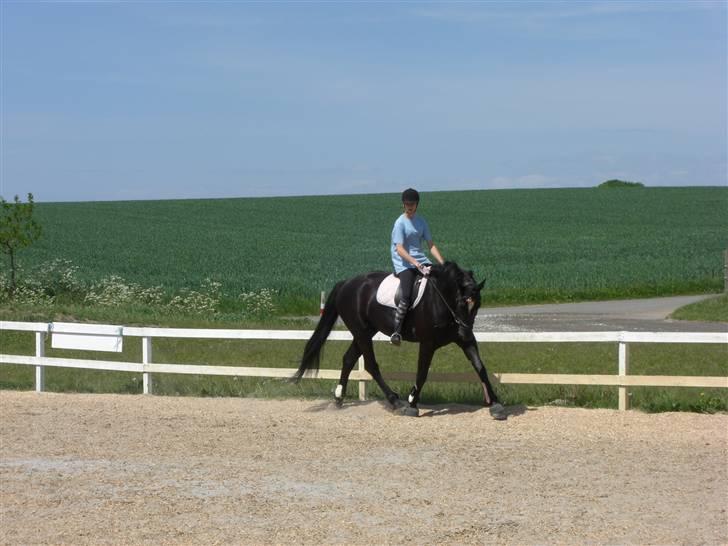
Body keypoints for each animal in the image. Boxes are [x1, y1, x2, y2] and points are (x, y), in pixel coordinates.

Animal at [294, 262, 506, 418]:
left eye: (478, 305)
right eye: (461, 302)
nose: (466, 331)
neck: (441, 300)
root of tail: (346, 283)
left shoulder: (465, 342)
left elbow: (480, 368)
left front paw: (496, 404)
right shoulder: (428, 343)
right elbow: (422, 373)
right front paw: (412, 404)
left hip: (365, 332)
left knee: (348, 359)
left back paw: (339, 398)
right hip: (361, 332)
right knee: (370, 365)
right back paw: (395, 400)